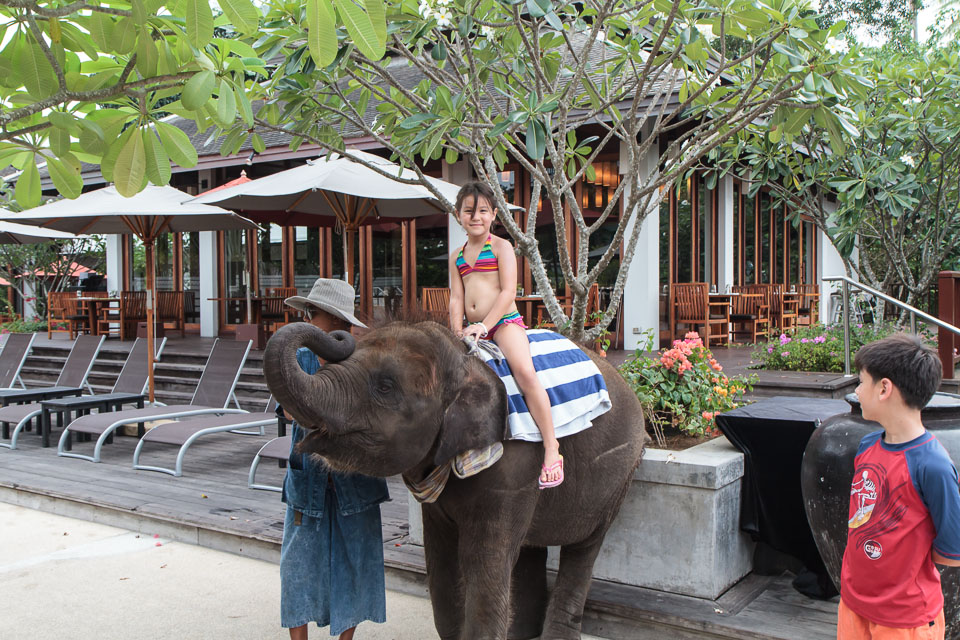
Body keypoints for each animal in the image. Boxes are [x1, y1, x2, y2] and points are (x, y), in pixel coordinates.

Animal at [263, 320, 648, 640]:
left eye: (385, 386)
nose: (340, 335)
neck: (468, 366)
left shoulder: (515, 462)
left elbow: (482, 561)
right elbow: (442, 560)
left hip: (618, 477)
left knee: (583, 549)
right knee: (530, 548)